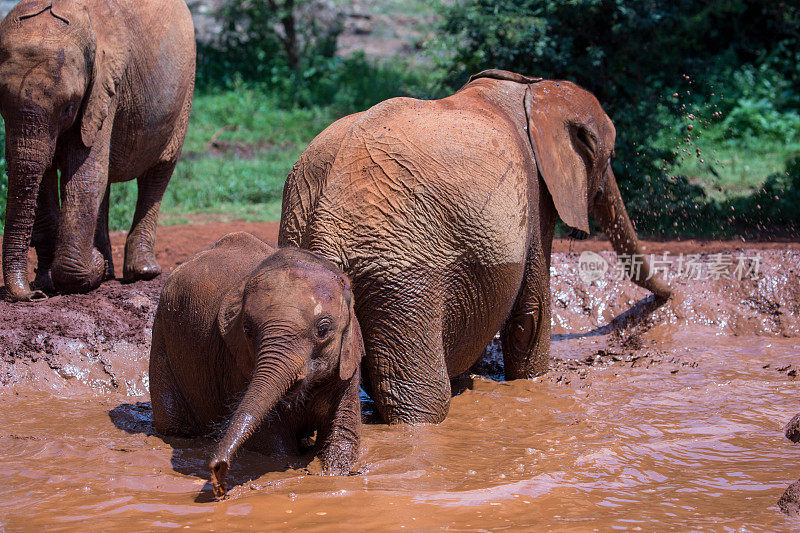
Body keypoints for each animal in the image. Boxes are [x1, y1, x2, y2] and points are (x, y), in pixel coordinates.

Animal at [0, 0, 196, 300]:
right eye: (0, 107)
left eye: (68, 107)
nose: (32, 296)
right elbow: (44, 175)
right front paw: (50, 282)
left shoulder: (105, 89)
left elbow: (85, 177)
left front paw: (89, 267)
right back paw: (106, 272)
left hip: (185, 90)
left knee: (159, 171)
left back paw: (142, 272)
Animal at [148, 231, 364, 496]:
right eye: (247, 330)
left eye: (323, 330)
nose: (218, 473)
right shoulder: (233, 361)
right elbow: (273, 441)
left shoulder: (348, 360)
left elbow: (343, 434)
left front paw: (334, 473)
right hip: (161, 335)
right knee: (173, 425)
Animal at [280, 68, 668, 424]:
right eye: (609, 156)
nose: (664, 299)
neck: (534, 88)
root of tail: (324, 223)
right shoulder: (535, 195)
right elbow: (530, 318)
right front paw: (533, 382)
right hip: (401, 275)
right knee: (421, 400)